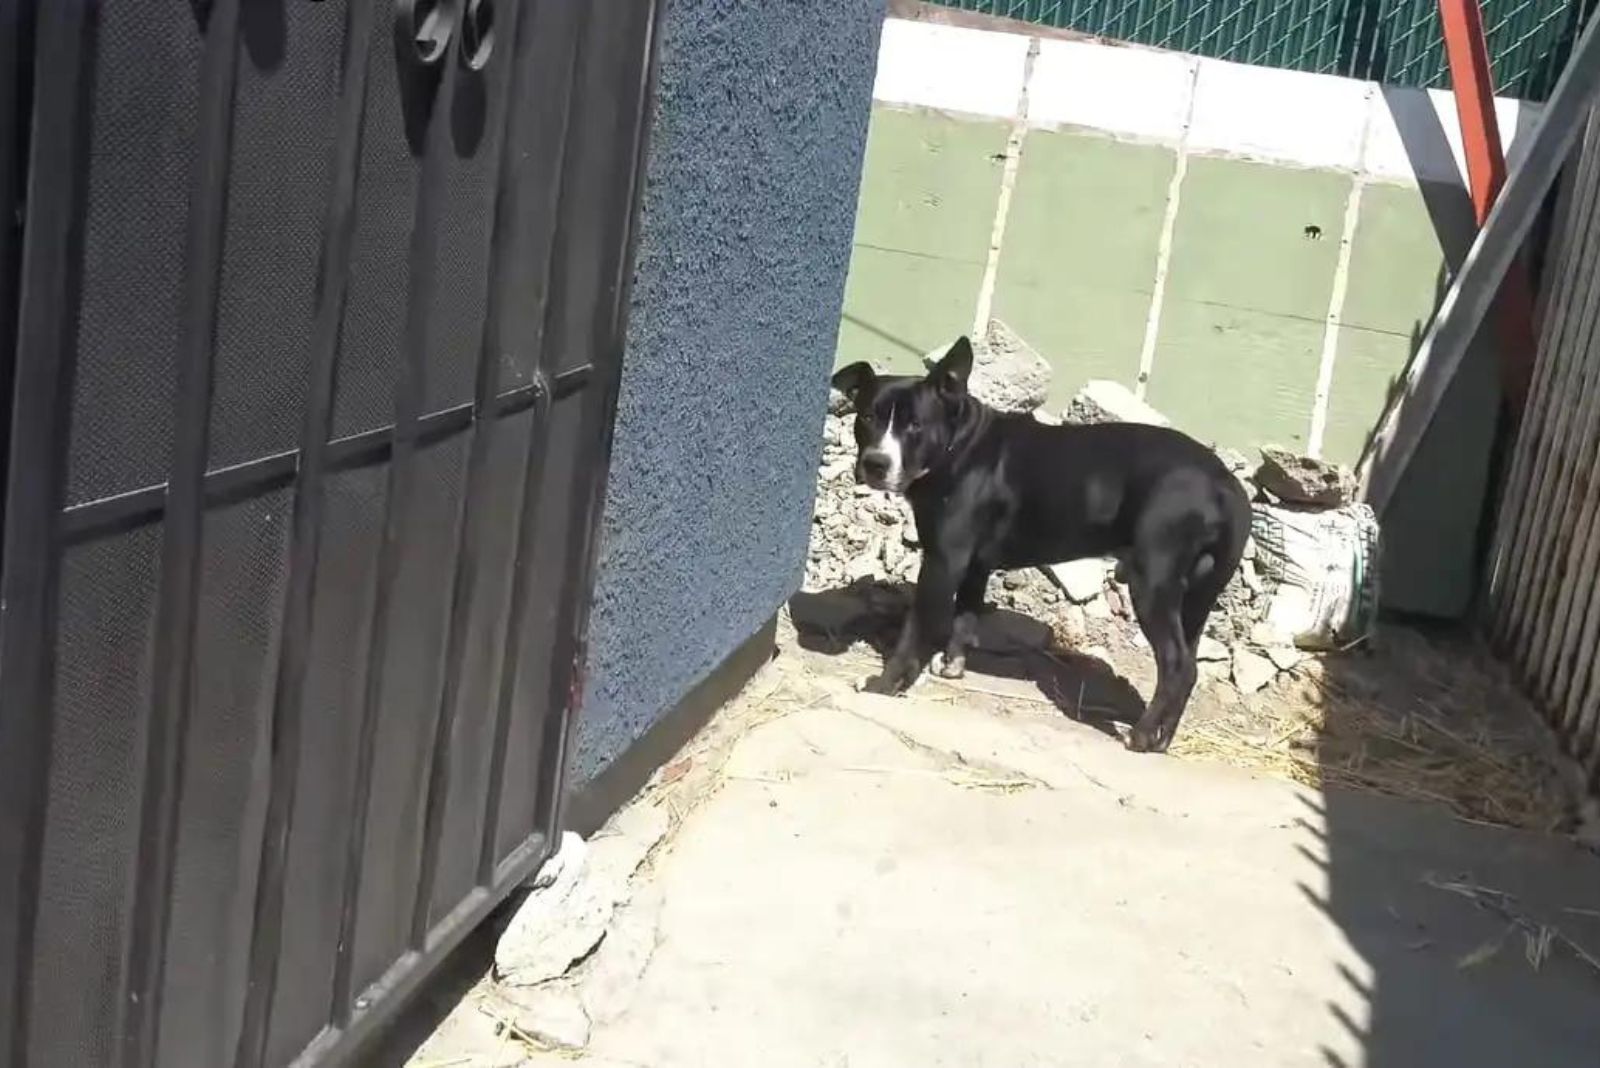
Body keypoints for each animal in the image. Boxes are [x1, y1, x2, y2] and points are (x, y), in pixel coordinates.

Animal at [832, 340, 1254, 751]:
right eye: (866, 417)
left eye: (915, 425)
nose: (875, 463)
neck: (959, 445)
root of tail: (1225, 484)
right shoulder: (973, 564)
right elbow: (965, 615)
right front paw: (952, 665)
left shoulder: (942, 561)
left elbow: (916, 628)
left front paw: (885, 684)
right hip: (1196, 599)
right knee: (1189, 665)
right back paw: (1162, 739)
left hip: (1153, 581)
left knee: (1177, 665)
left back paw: (1141, 736)